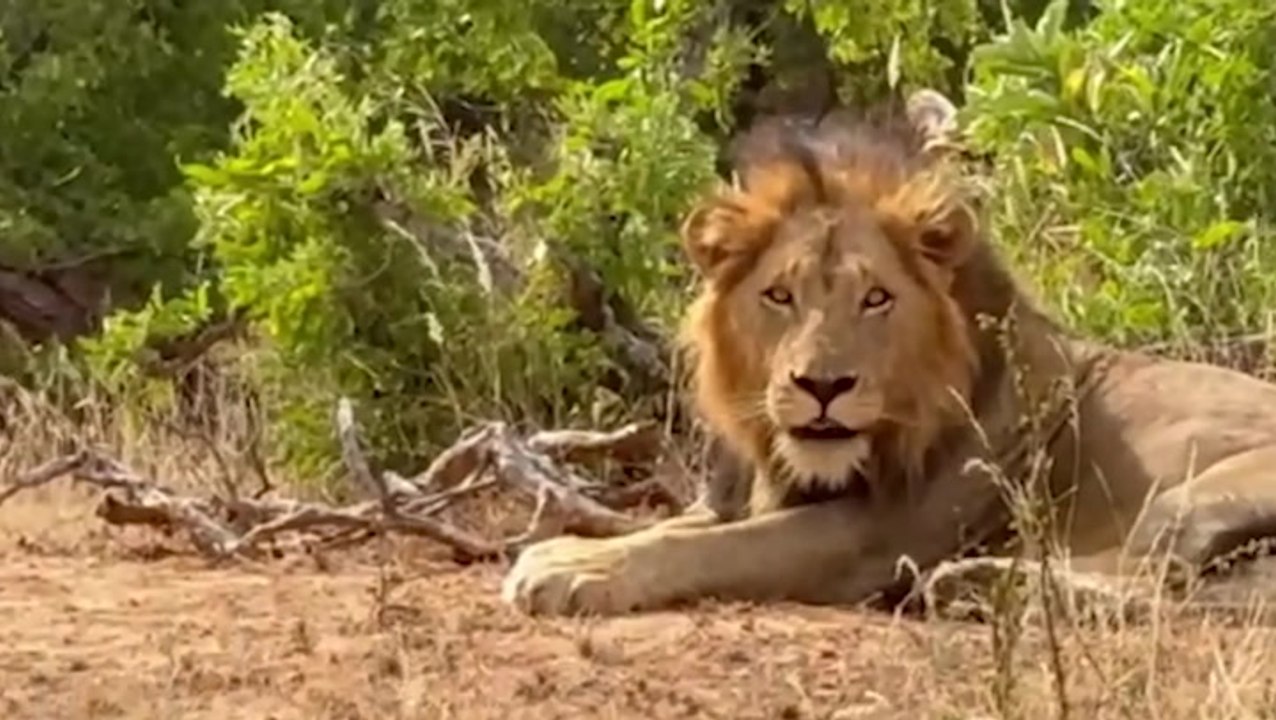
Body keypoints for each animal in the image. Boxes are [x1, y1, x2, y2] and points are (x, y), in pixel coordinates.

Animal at [500, 88, 1276, 618]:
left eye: (876, 299)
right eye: (780, 296)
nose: (823, 386)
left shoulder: (872, 534)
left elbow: (706, 546)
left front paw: (570, 570)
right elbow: (675, 525)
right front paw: (574, 549)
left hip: (1195, 496)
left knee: (1159, 589)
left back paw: (972, 582)